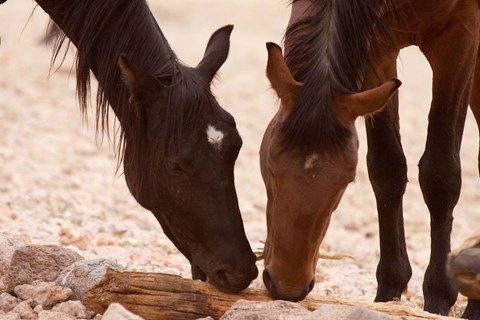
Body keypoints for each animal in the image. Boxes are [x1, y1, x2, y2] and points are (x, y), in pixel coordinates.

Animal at [262, 0, 480, 318]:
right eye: (270, 167)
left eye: (346, 181)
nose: (287, 285)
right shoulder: (377, 47)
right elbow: (387, 167)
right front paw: (389, 290)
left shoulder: (460, 34)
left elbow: (440, 174)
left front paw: (439, 295)